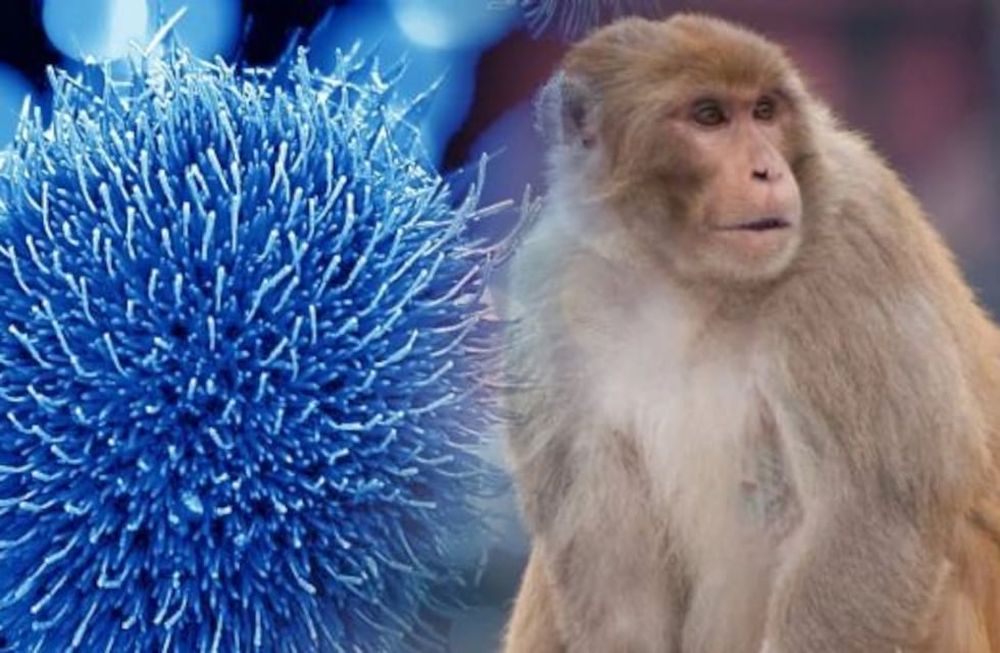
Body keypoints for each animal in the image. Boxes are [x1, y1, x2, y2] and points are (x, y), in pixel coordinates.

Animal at [501, 13, 1000, 653]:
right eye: (709, 116)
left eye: (764, 111)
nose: (767, 170)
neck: (688, 279)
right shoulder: (549, 290)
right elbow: (612, 567)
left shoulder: (857, 238)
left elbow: (876, 514)